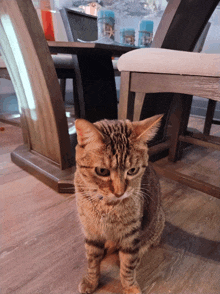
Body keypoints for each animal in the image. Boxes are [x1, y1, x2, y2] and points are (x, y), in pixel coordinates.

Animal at [74, 115, 165, 294]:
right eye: (102, 171)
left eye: (132, 170)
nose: (119, 192)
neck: (106, 205)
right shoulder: (91, 230)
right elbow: (92, 261)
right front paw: (91, 281)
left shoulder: (131, 235)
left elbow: (128, 266)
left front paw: (129, 287)